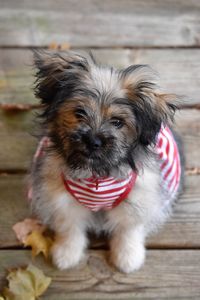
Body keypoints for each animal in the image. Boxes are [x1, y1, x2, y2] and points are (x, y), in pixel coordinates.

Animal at [28, 50, 184, 274]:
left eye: (117, 122)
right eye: (79, 112)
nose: (93, 141)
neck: (97, 174)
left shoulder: (137, 200)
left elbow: (128, 231)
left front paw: (128, 257)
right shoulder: (63, 200)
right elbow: (70, 228)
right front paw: (67, 253)